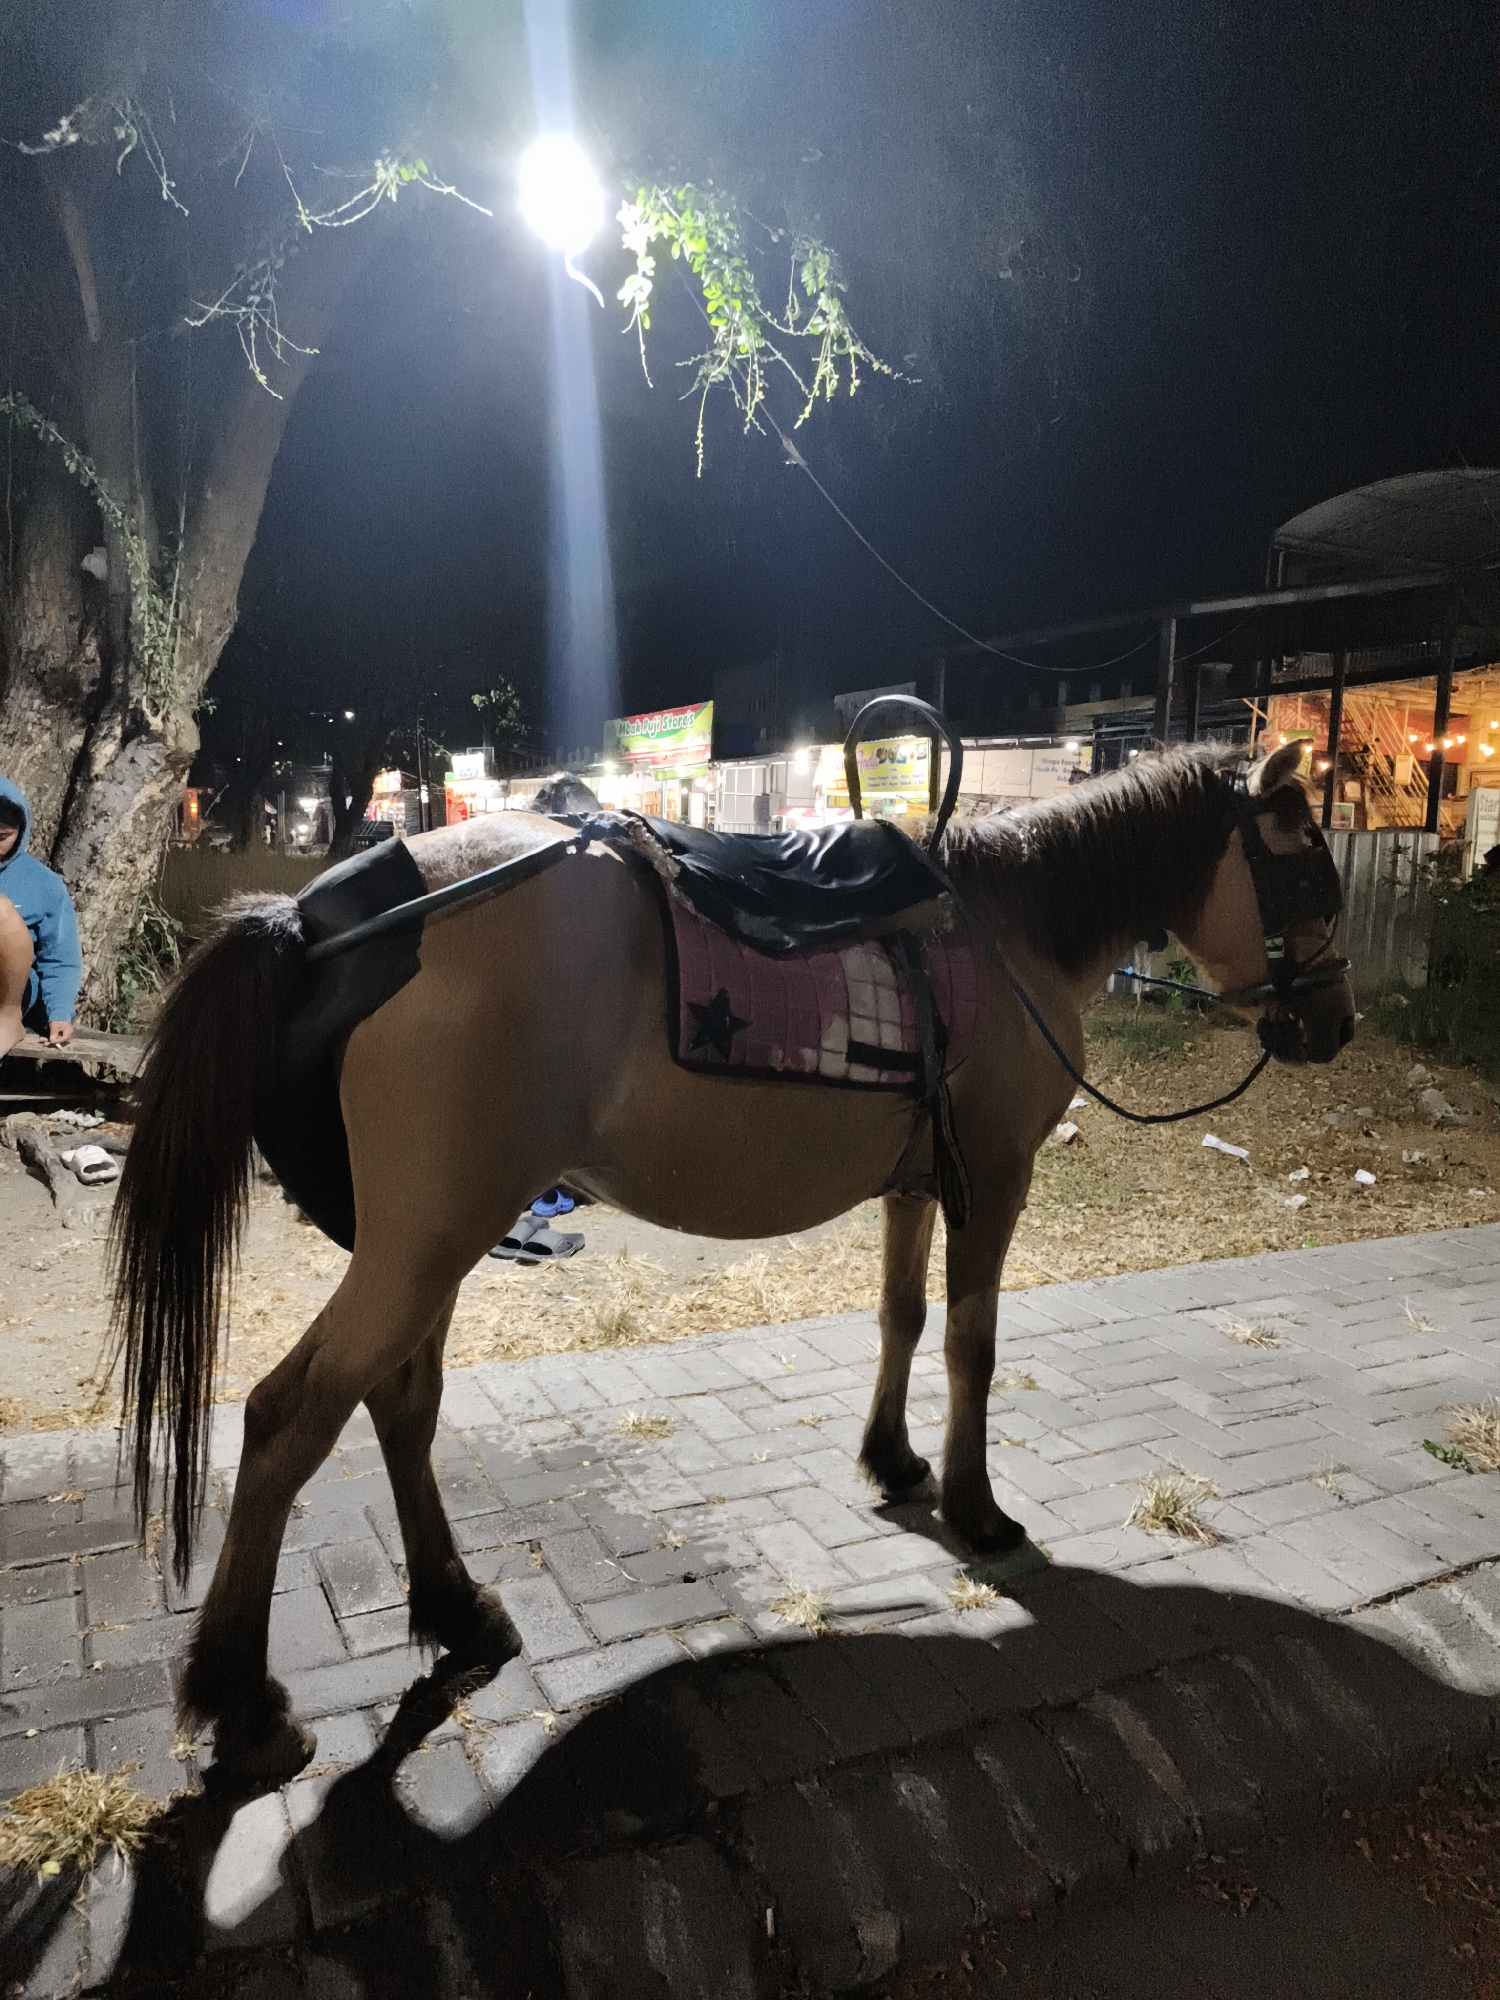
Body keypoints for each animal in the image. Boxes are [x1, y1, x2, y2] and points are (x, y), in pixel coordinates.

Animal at [109, 738, 1354, 1779]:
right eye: (1306, 872)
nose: (1334, 1025)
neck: (1013, 926)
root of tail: (319, 923)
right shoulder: (994, 1177)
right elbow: (972, 1341)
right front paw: (977, 1506)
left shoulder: (918, 1183)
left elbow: (901, 1316)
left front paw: (893, 1459)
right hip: (425, 1244)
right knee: (290, 1415)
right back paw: (243, 1699)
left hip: (439, 1241)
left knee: (401, 1402)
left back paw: (458, 1609)